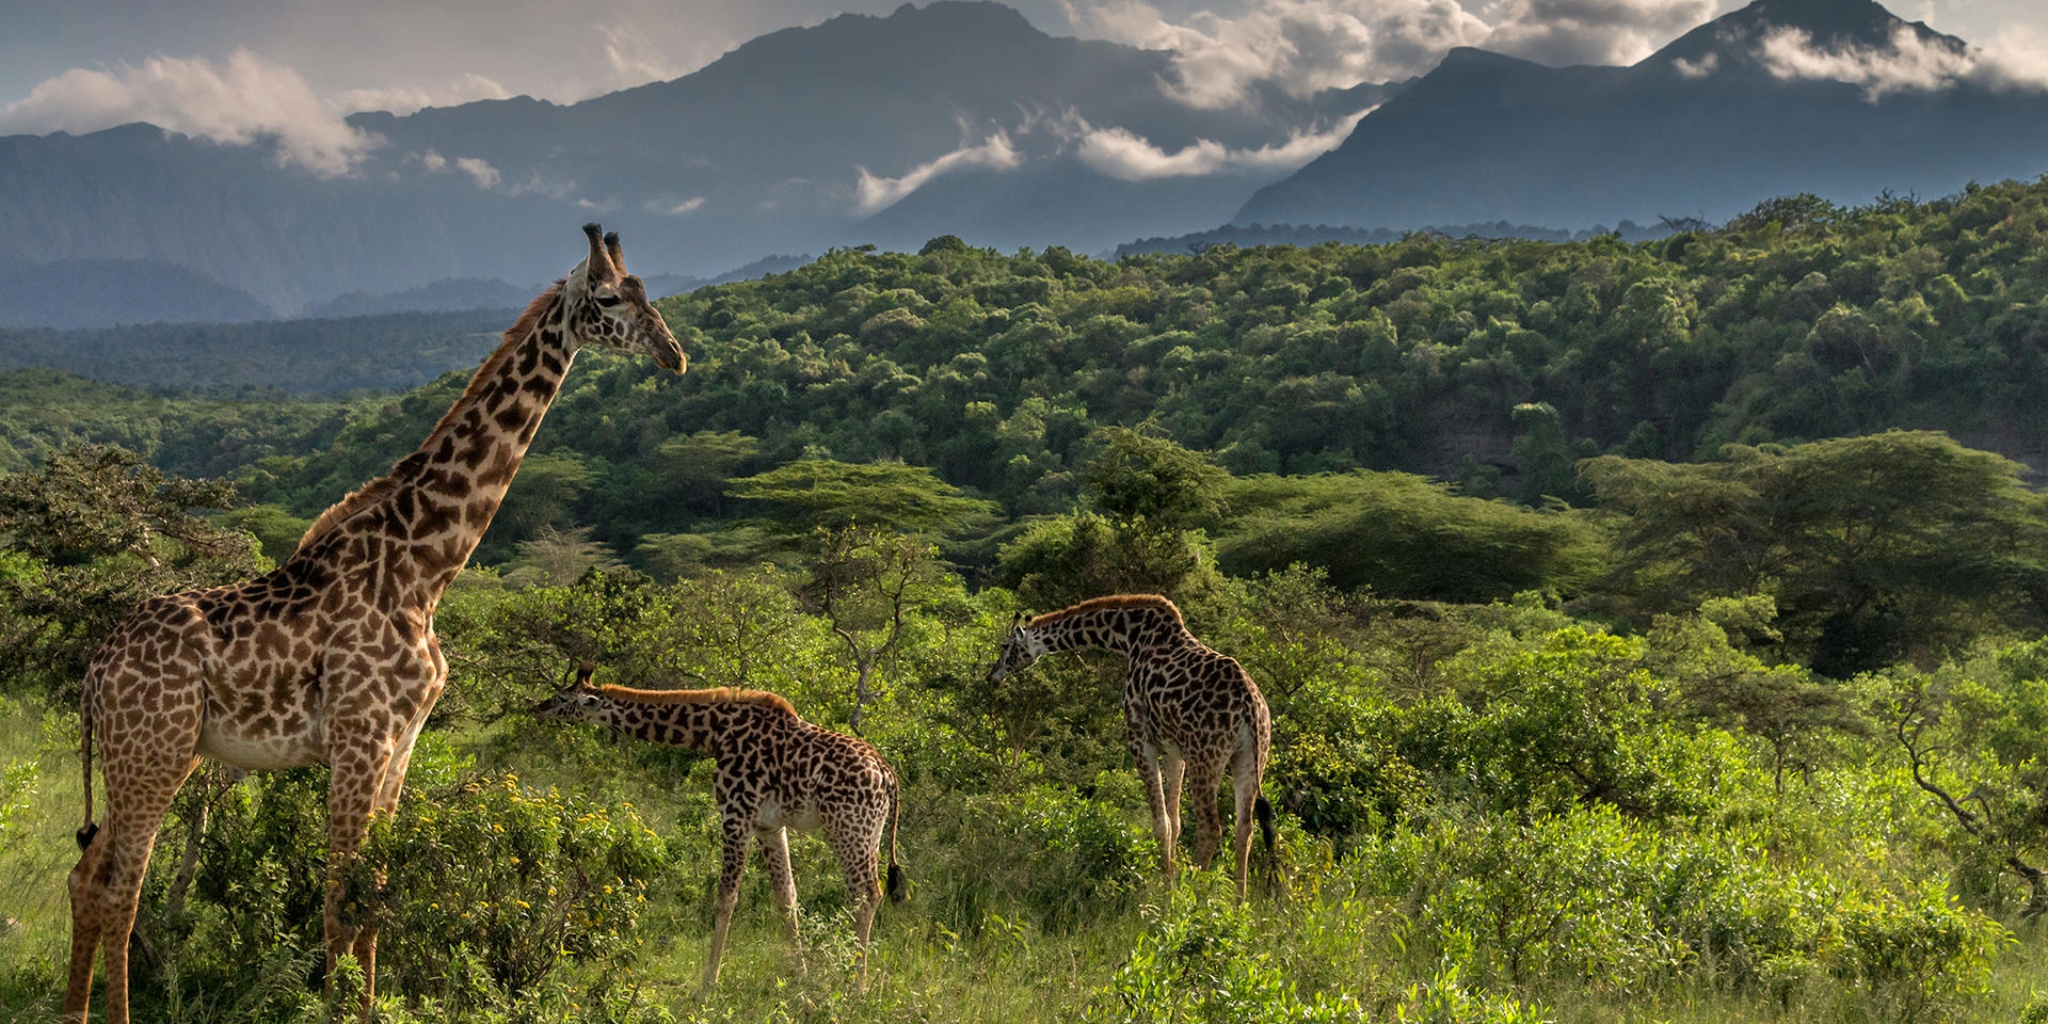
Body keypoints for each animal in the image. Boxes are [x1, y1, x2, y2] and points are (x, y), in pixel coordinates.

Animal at [61, 224, 688, 1024]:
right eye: (608, 299)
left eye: (647, 292)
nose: (674, 354)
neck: (425, 569)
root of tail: (94, 672)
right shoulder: (361, 739)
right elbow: (340, 905)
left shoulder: (401, 744)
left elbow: (376, 900)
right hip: (155, 753)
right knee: (121, 888)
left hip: (151, 754)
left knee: (87, 875)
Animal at [536, 663, 905, 991]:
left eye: (561, 697)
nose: (537, 707)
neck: (715, 734)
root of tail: (888, 775)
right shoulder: (769, 825)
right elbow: (786, 897)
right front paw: (799, 977)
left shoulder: (735, 813)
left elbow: (726, 898)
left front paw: (706, 985)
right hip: (871, 832)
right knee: (864, 893)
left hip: (849, 829)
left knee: (866, 893)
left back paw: (856, 986)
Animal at [987, 598, 1269, 901]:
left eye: (1005, 646)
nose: (992, 676)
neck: (1128, 637)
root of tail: (1249, 703)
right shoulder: (1174, 751)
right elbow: (1175, 822)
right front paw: (1170, 882)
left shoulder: (1139, 737)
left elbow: (1160, 823)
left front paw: (1166, 894)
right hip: (1249, 758)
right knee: (1245, 828)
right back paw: (1240, 904)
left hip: (1205, 758)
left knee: (1211, 829)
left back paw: (1193, 899)